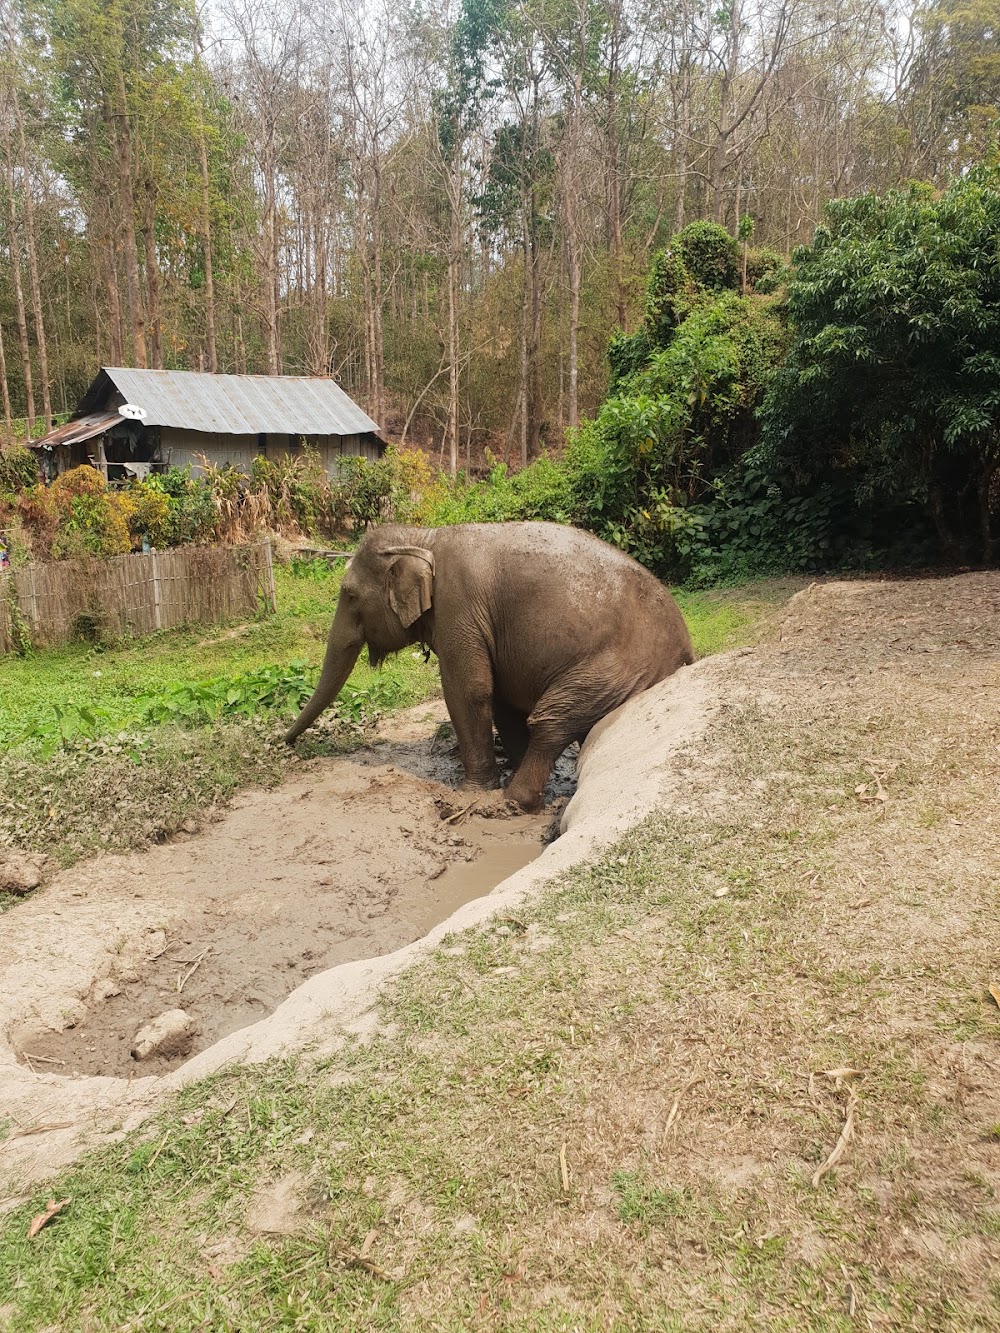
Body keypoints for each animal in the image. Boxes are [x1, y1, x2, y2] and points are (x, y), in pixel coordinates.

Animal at [288, 519, 698, 810]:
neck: (425, 537)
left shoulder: (458, 607)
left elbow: (468, 690)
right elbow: (501, 698)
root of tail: (687, 651)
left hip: (615, 668)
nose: (285, 743)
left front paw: (472, 793)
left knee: (551, 720)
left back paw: (512, 802)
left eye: (349, 595)